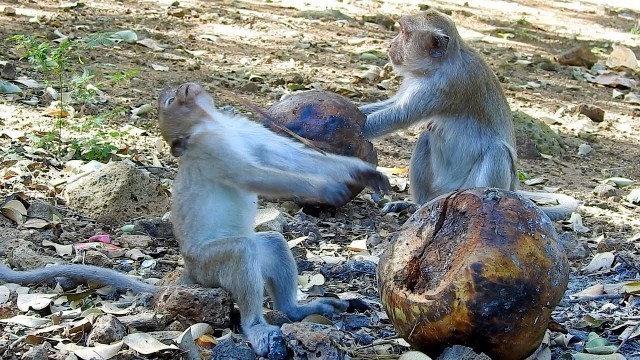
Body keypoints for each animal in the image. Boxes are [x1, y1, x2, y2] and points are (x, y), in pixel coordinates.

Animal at [2, 82, 390, 358]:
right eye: (171, 101)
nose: (185, 88)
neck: (211, 123)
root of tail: (188, 271)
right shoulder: (210, 147)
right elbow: (252, 174)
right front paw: (329, 188)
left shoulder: (239, 129)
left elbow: (290, 155)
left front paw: (361, 172)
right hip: (209, 267)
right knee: (241, 253)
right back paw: (255, 326)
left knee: (271, 244)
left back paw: (293, 310)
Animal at [360, 9, 580, 221]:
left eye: (404, 32)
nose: (390, 45)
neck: (439, 64)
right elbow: (394, 105)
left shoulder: (445, 85)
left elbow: (400, 115)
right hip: (439, 191)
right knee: (426, 137)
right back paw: (418, 205)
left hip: (472, 187)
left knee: (497, 152)